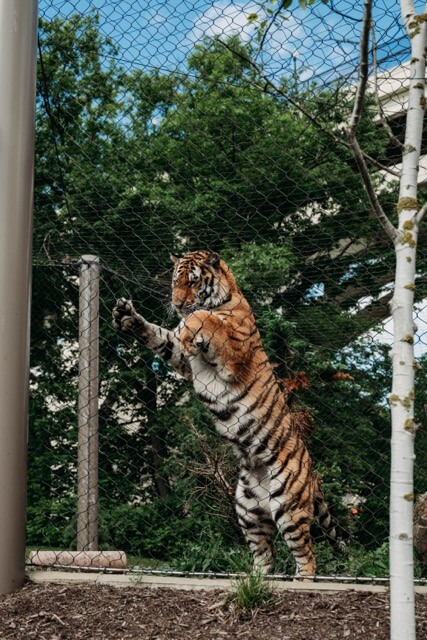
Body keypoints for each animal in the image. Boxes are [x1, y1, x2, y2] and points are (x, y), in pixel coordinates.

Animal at [112, 249, 343, 579]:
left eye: (193, 282)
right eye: (175, 281)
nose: (178, 304)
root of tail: (312, 471)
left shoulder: (231, 351)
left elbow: (204, 319)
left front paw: (192, 321)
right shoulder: (181, 356)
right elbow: (160, 336)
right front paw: (127, 316)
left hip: (288, 505)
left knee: (307, 553)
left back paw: (301, 581)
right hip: (247, 510)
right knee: (266, 553)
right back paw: (253, 579)